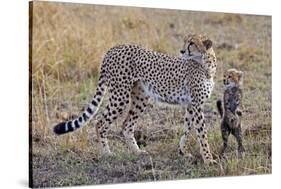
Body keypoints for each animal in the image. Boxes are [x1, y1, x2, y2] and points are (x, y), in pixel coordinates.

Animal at [53, 34, 218, 164]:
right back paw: (106, 153)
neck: (206, 64)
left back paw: (137, 152)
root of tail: (113, 48)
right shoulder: (197, 105)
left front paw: (182, 152)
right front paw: (208, 160)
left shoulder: (191, 105)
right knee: (100, 122)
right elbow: (202, 134)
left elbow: (186, 130)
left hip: (140, 97)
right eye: (186, 42)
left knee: (126, 125)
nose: (182, 51)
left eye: (192, 43)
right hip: (120, 96)